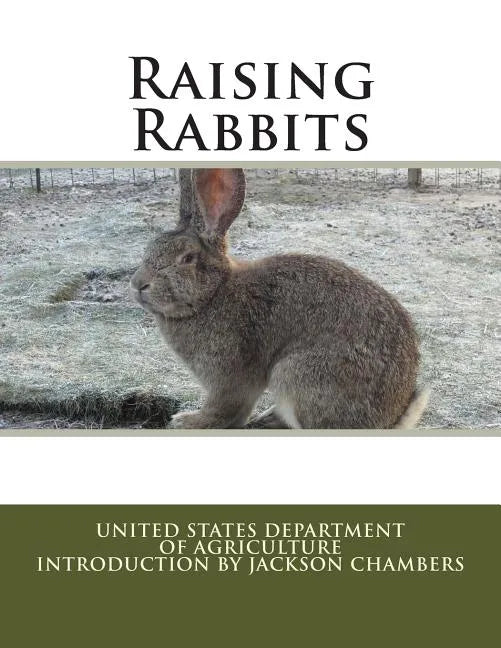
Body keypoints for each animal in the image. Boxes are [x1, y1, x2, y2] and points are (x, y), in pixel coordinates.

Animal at [130, 168, 429, 429]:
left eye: (187, 258)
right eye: (149, 249)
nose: (137, 284)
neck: (213, 294)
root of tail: (389, 419)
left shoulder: (229, 377)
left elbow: (225, 410)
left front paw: (187, 421)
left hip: (295, 374)